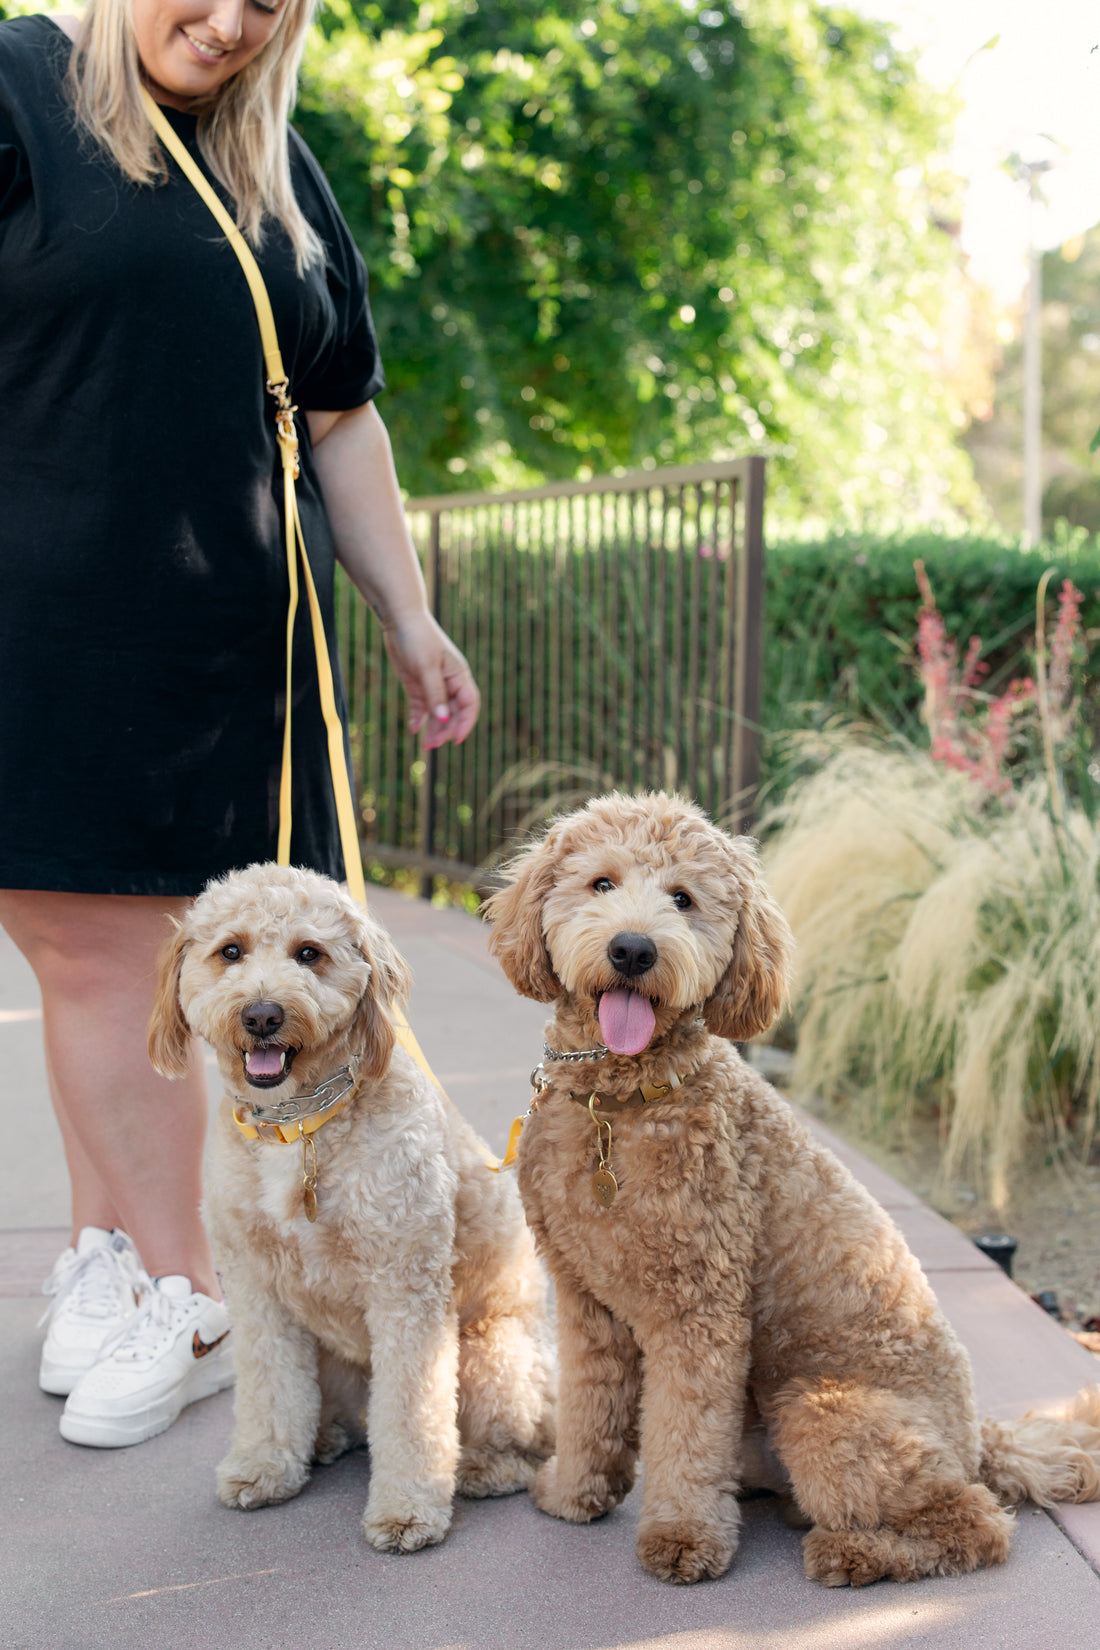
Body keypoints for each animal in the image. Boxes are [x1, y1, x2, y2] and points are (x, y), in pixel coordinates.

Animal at [150, 871, 554, 1551]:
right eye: (230, 951)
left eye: (309, 953)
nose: (262, 1015)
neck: (300, 1124)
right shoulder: (255, 1287)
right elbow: (268, 1387)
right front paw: (265, 1465)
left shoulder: (406, 1286)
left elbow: (413, 1412)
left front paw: (409, 1507)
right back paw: (320, 1439)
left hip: (490, 1357)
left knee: (522, 1447)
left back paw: (479, 1468)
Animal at [484, 792, 1100, 1590]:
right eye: (602, 883)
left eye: (683, 899)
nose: (633, 950)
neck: (619, 1102)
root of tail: (976, 1440)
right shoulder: (587, 1301)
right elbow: (592, 1407)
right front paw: (574, 1495)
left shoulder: (699, 1311)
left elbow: (687, 1434)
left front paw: (683, 1537)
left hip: (819, 1408)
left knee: (977, 1523)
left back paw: (854, 1553)